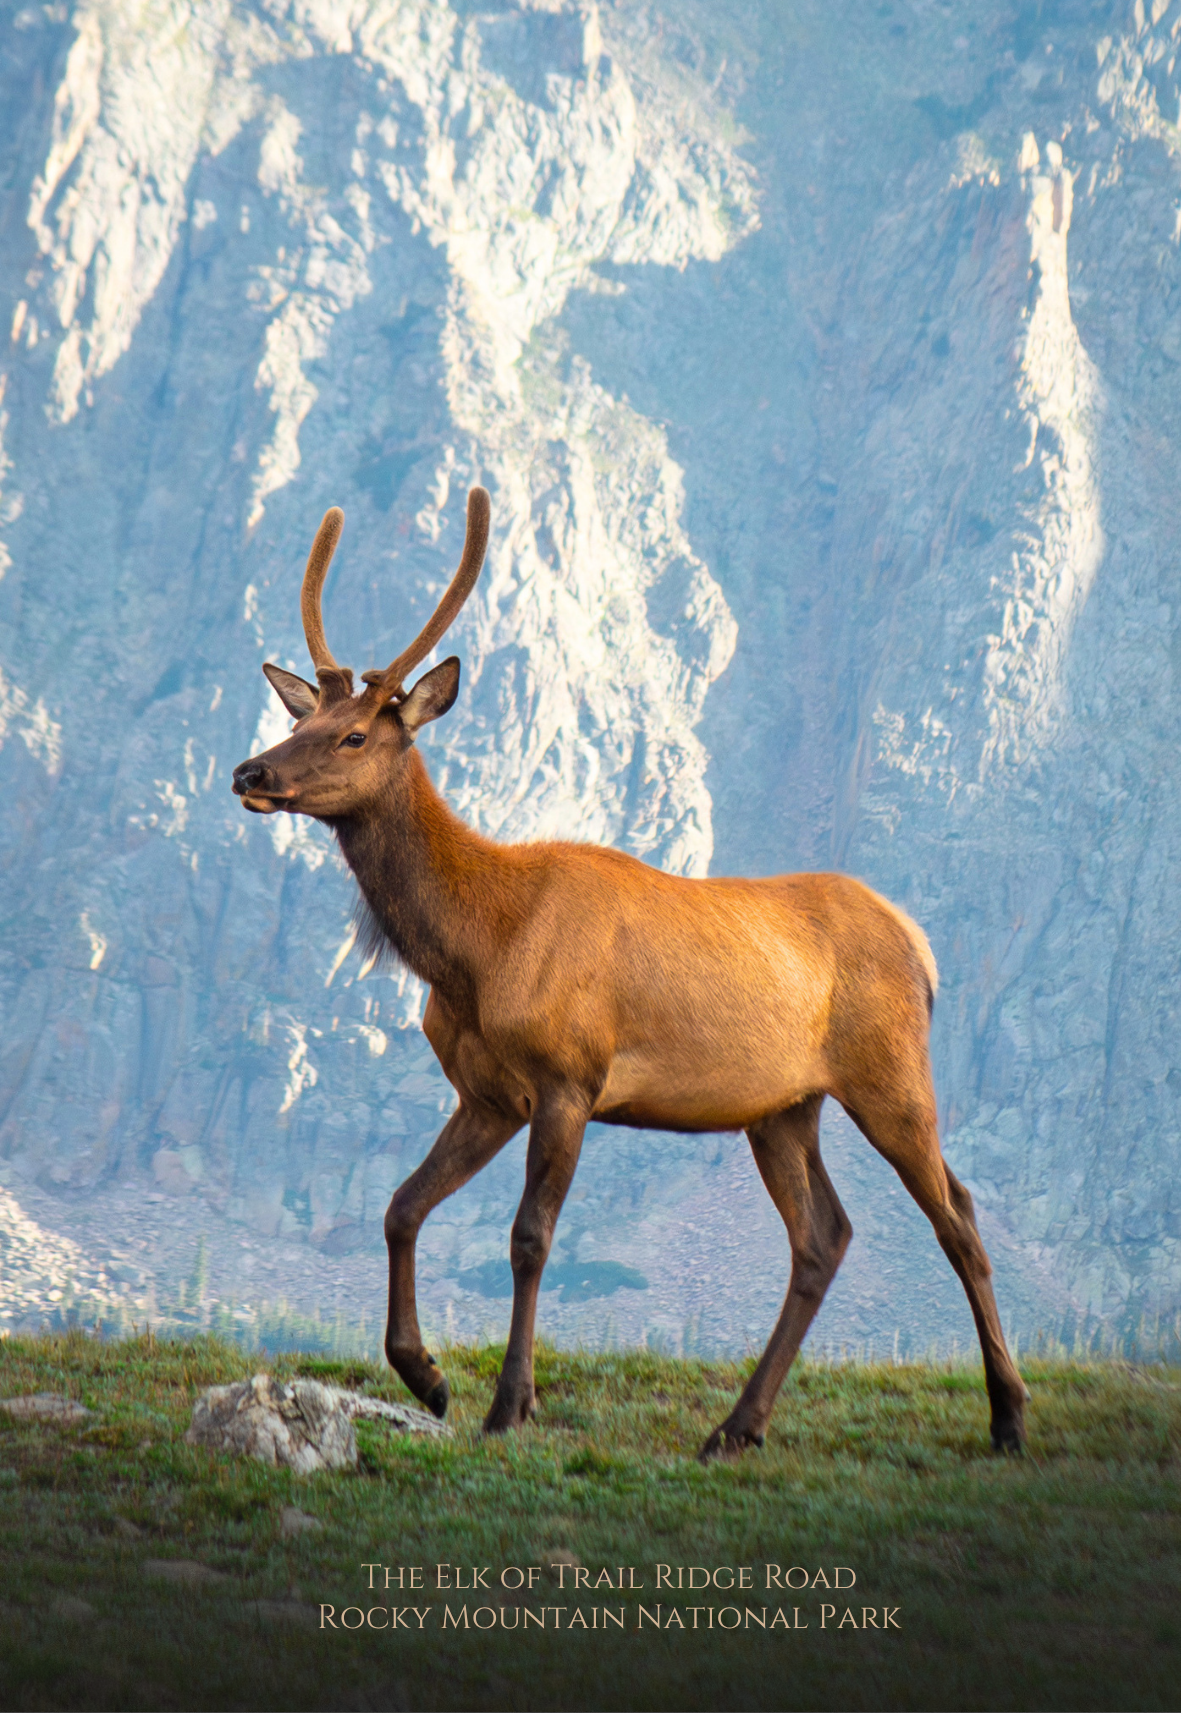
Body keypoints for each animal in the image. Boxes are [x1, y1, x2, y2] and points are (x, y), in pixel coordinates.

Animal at [232, 486, 1028, 1461]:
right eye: (294, 720)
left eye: (349, 735)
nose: (251, 770)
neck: (476, 949)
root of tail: (921, 945)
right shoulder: (487, 1092)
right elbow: (399, 1206)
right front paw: (426, 1375)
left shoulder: (569, 1076)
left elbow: (529, 1236)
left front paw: (508, 1403)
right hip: (781, 1105)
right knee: (824, 1235)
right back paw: (736, 1425)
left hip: (890, 1072)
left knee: (958, 1214)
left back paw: (1006, 1415)